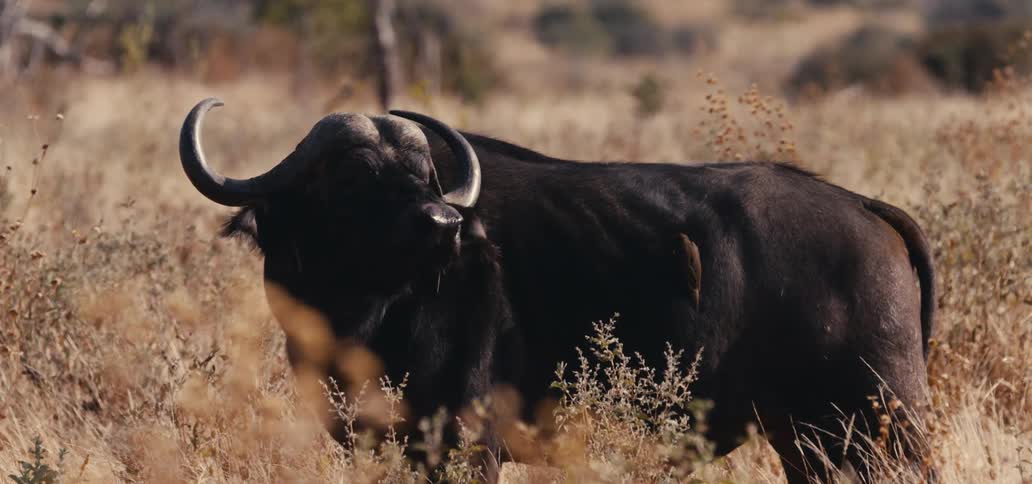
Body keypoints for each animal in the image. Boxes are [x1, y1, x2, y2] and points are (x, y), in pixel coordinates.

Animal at [179, 98, 935, 483]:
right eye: (353, 177)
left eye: (424, 174)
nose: (445, 222)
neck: (375, 314)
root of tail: (862, 206)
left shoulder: (465, 443)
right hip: (806, 440)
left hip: (883, 427)